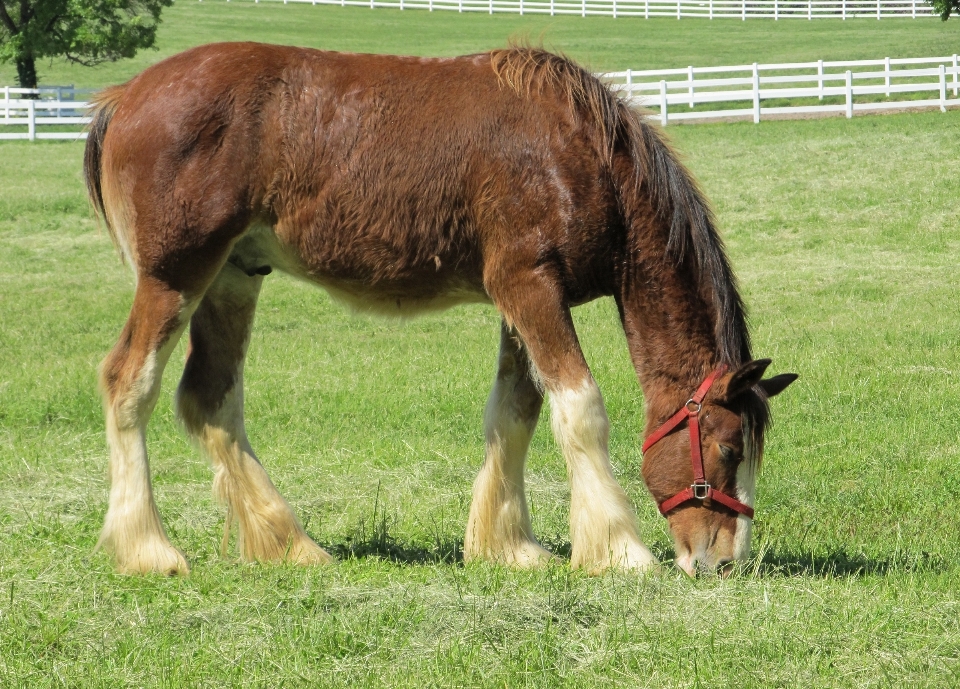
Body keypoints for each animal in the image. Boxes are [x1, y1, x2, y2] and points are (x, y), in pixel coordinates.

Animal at [86, 41, 796, 576]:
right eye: (728, 447)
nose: (723, 563)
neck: (577, 154)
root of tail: (125, 96)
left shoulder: (523, 300)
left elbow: (516, 414)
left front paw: (510, 547)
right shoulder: (530, 287)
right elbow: (580, 411)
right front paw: (620, 551)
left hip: (234, 276)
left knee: (210, 399)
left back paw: (289, 543)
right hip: (175, 278)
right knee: (128, 384)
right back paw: (149, 550)